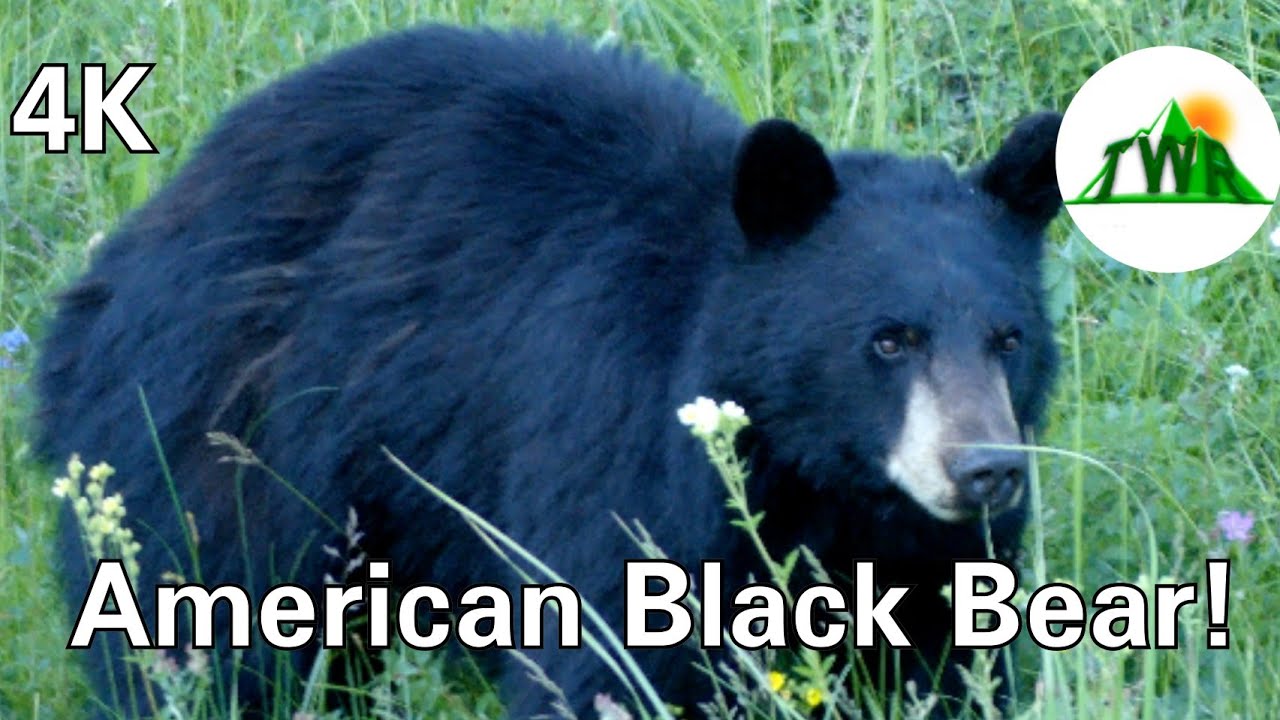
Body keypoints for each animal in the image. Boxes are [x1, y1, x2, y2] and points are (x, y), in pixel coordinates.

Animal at [36, 24, 1062, 720]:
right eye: (889, 340)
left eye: (1008, 338)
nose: (985, 470)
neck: (815, 481)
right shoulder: (617, 442)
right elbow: (613, 650)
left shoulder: (921, 550)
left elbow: (946, 658)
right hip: (222, 422)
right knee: (205, 614)